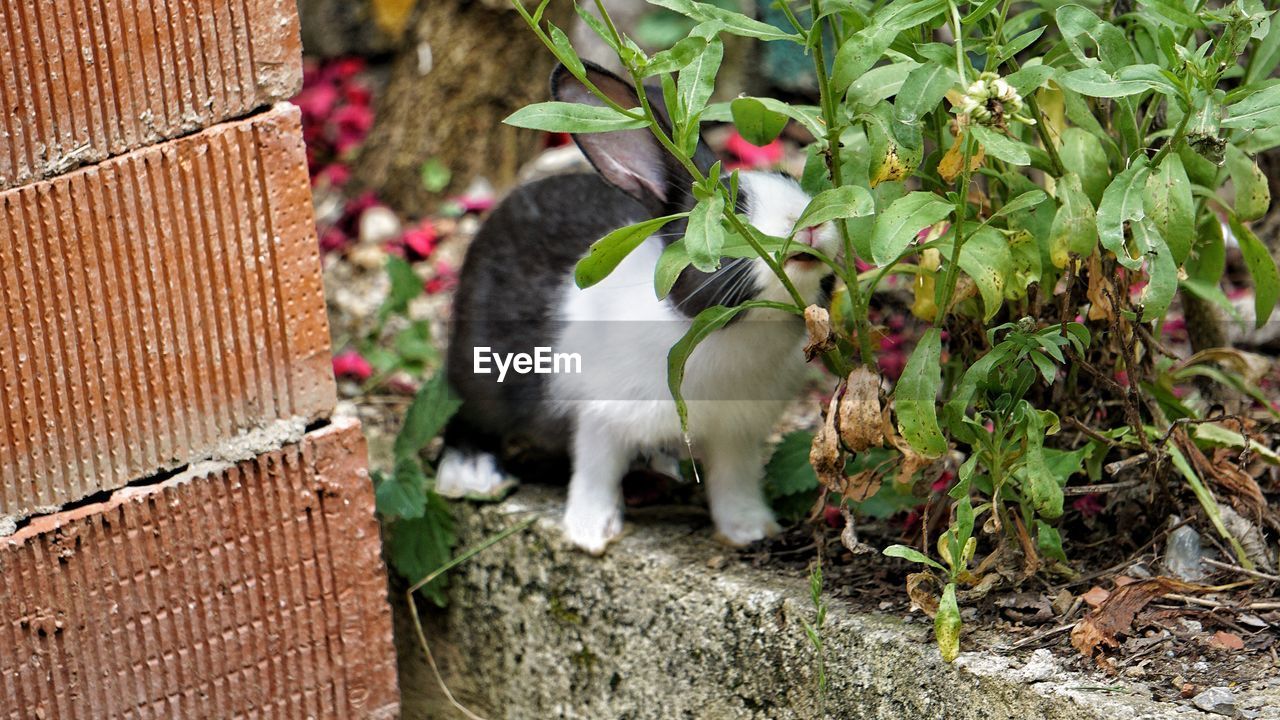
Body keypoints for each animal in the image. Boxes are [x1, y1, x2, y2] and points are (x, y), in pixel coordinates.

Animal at [440, 63, 839, 556]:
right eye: (727, 215)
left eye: (791, 180)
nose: (811, 226)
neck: (728, 330)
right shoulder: (599, 418)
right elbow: (595, 472)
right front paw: (590, 534)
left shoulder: (737, 434)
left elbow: (734, 482)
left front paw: (751, 530)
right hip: (480, 371)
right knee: (465, 417)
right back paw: (471, 474)